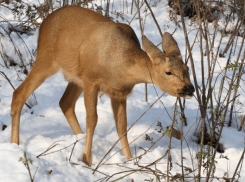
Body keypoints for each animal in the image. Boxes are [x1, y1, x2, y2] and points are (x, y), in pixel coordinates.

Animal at [10, 5, 195, 166]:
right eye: (168, 72)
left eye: (187, 68)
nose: (190, 89)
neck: (119, 64)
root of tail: (43, 23)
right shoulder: (91, 80)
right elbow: (92, 119)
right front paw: (87, 160)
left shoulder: (119, 92)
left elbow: (122, 126)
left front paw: (129, 160)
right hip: (47, 58)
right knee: (19, 93)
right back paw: (14, 144)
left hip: (75, 77)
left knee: (65, 102)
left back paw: (78, 138)